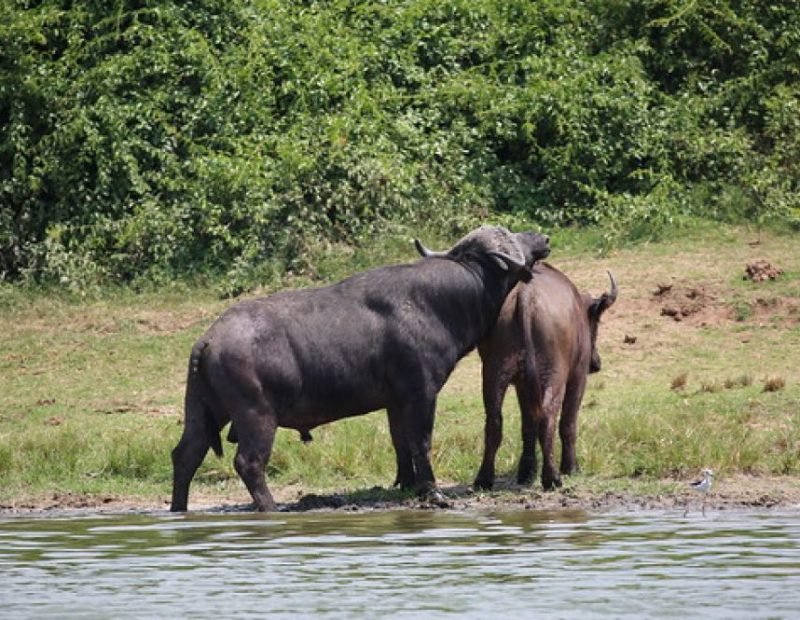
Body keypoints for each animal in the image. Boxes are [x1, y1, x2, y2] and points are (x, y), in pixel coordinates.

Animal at [171, 226, 550, 511]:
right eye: (511, 235)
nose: (542, 237)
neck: (441, 303)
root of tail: (209, 338)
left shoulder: (396, 402)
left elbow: (401, 443)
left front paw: (406, 483)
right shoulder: (422, 393)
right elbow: (421, 440)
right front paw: (431, 489)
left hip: (203, 412)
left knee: (185, 455)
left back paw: (179, 509)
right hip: (256, 417)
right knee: (248, 463)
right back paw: (271, 508)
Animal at [471, 262, 617, 491]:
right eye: (596, 322)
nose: (596, 363)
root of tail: (525, 296)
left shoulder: (522, 385)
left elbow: (527, 425)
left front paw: (527, 470)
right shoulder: (577, 377)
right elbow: (568, 421)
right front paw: (571, 467)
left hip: (494, 373)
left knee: (494, 422)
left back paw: (484, 478)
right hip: (554, 376)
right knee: (549, 417)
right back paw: (552, 477)